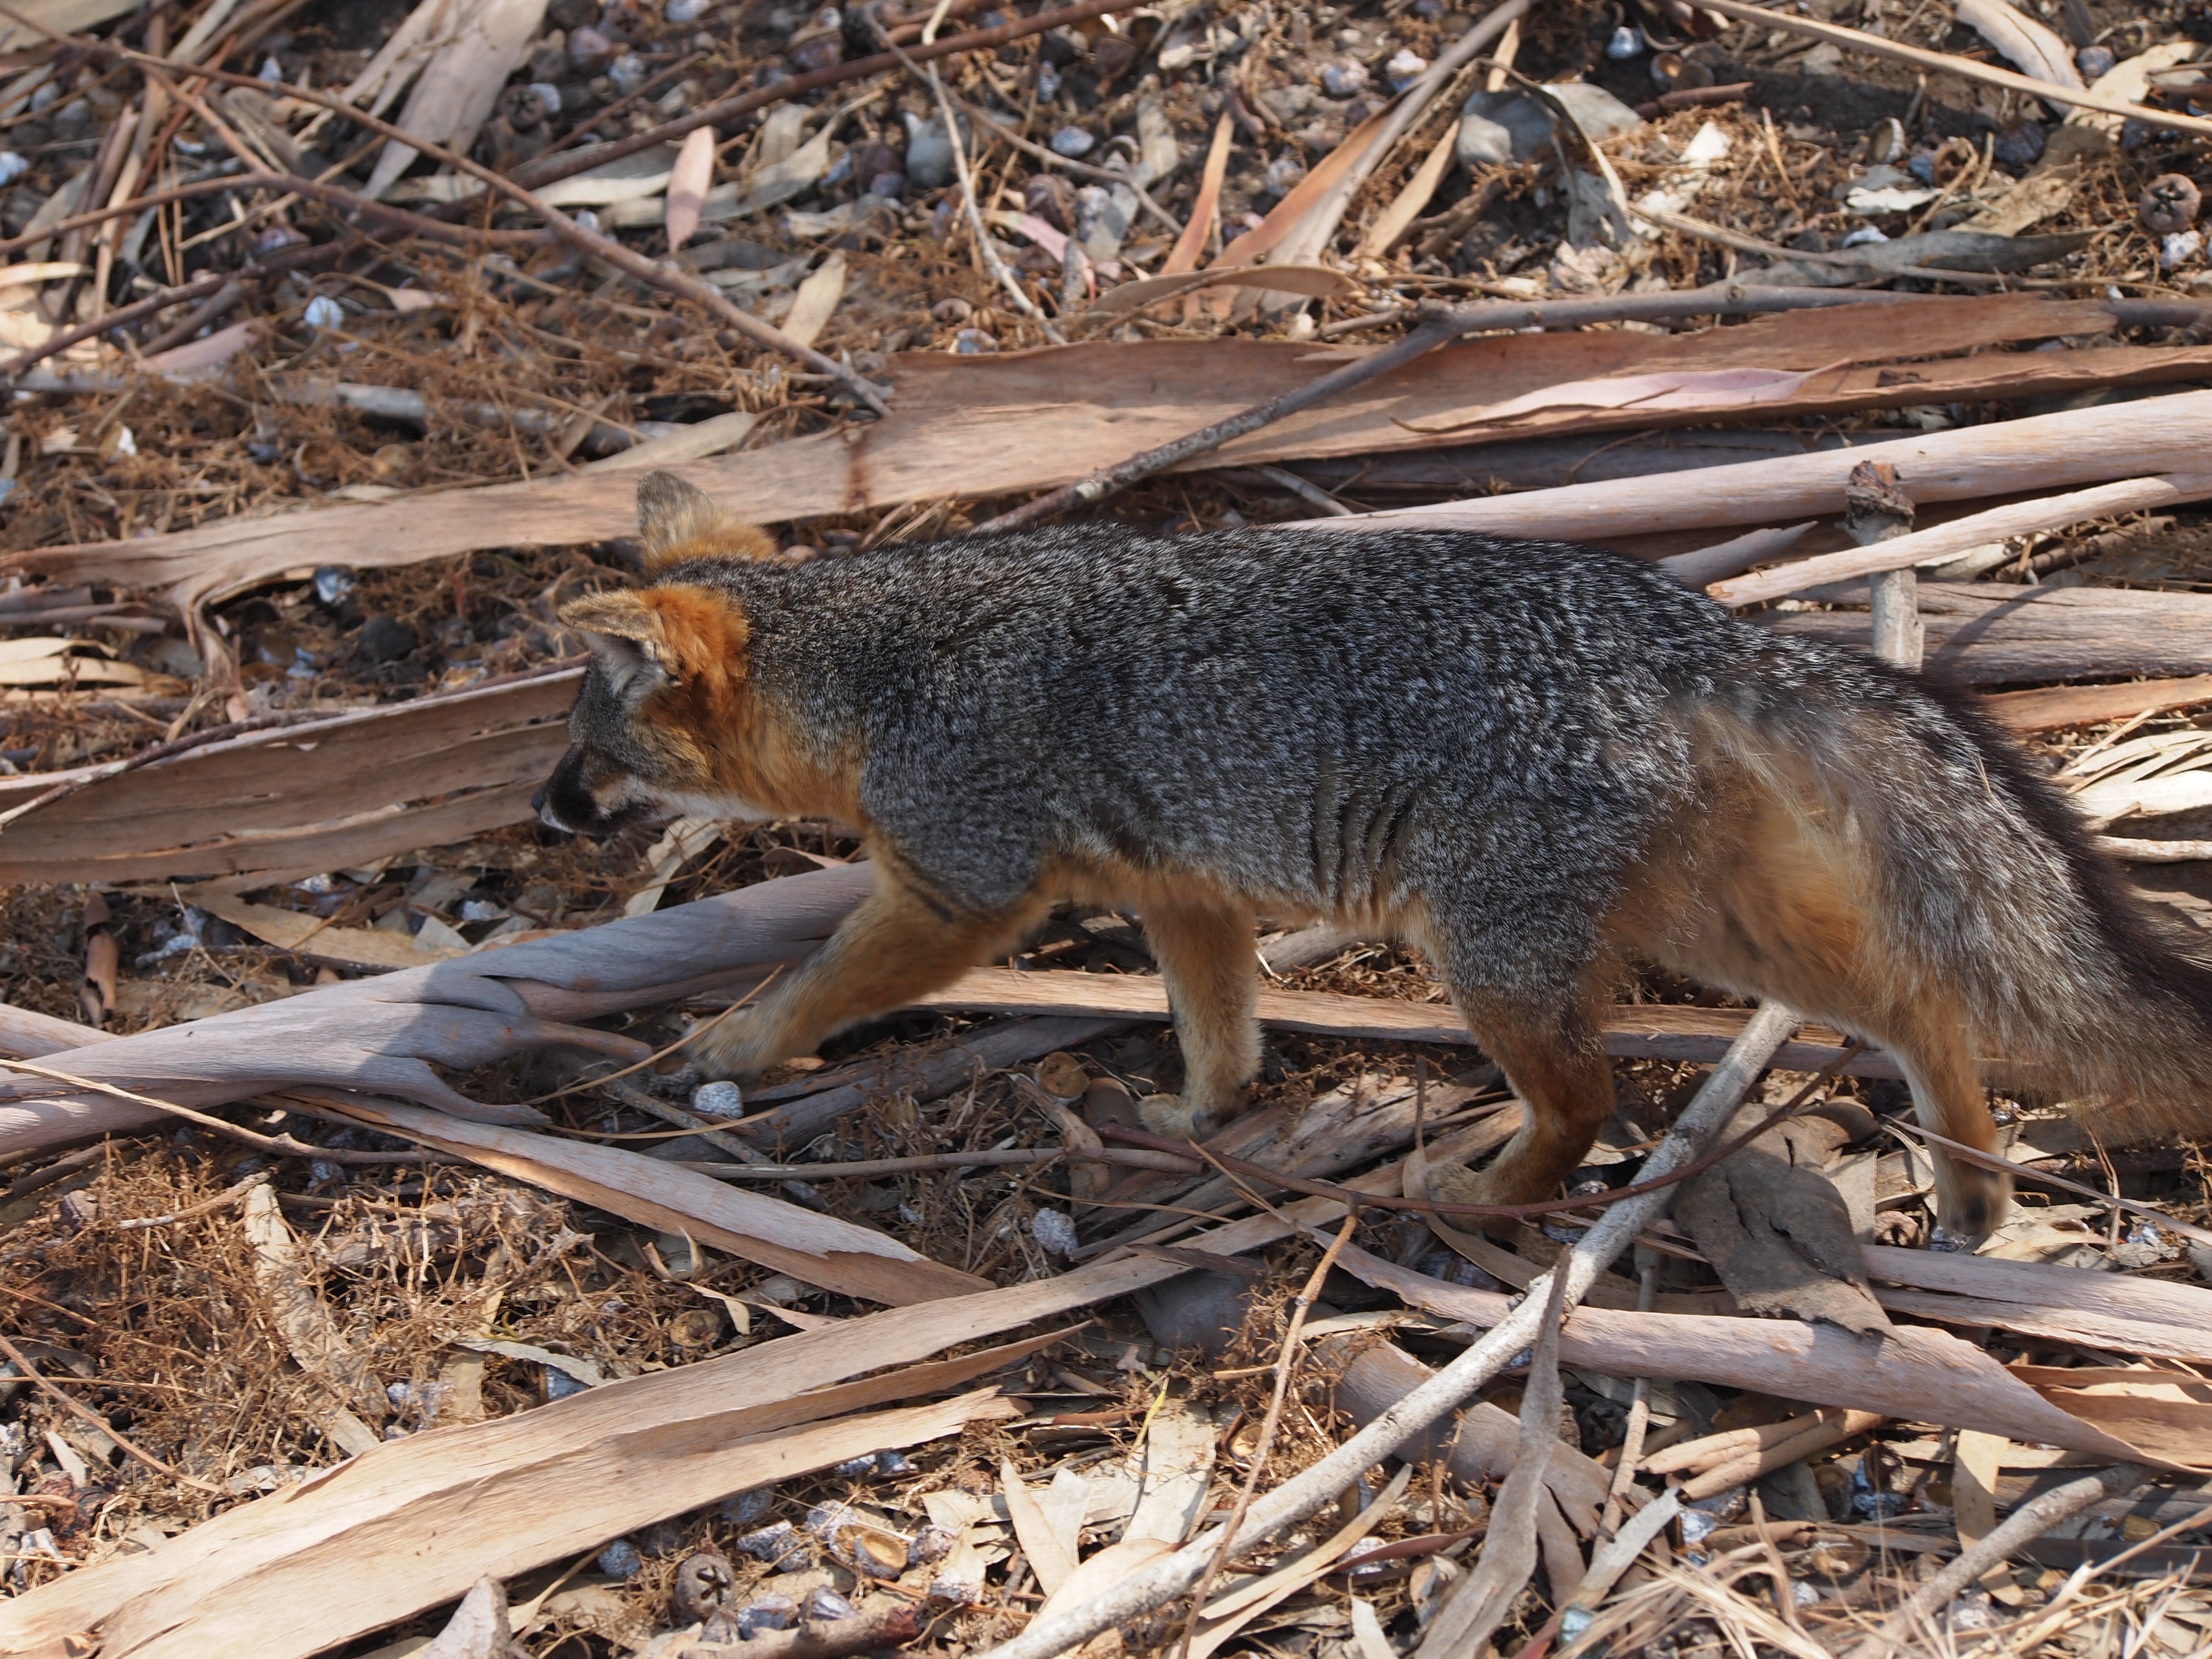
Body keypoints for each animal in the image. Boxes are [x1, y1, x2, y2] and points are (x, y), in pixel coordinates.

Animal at [534, 470, 2212, 1242]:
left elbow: (822, 984)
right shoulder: (1183, 890)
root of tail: (1684, 622)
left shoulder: (958, 885)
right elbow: (1218, 1021)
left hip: (1491, 955)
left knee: (1590, 1098)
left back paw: (1487, 1193)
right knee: (1919, 995)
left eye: (592, 751)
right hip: (1704, 921)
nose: (542, 814)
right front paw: (1198, 1113)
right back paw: (1975, 1190)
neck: (880, 666)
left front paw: (730, 1047)